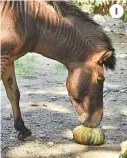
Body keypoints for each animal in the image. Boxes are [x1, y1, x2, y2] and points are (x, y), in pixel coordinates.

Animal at [0, 0, 116, 139]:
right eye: (100, 80)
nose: (96, 121)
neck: (28, 18)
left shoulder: (8, 59)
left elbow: (14, 93)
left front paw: (22, 129)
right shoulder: (3, 56)